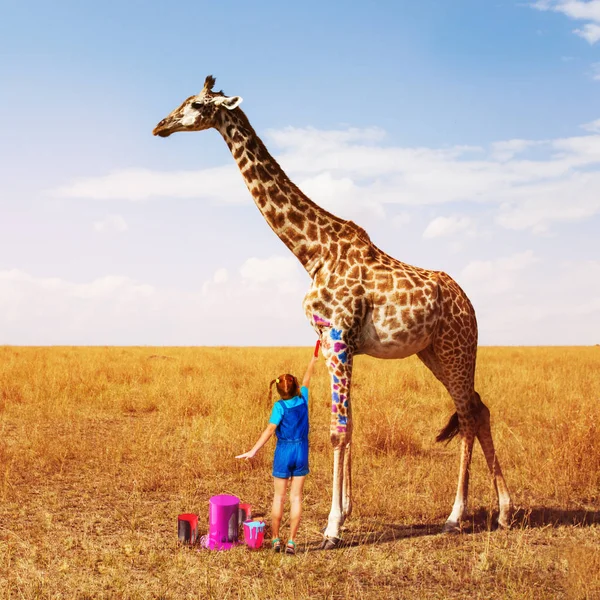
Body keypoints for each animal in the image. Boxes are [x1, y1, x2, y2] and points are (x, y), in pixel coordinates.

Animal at [154, 75, 510, 548]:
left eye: (195, 104)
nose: (160, 126)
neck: (313, 252)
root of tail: (468, 302)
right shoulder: (328, 341)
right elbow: (346, 425)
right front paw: (347, 510)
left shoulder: (340, 337)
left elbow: (338, 431)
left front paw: (332, 527)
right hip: (432, 352)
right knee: (478, 409)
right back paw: (501, 512)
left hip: (457, 348)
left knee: (470, 415)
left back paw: (459, 516)